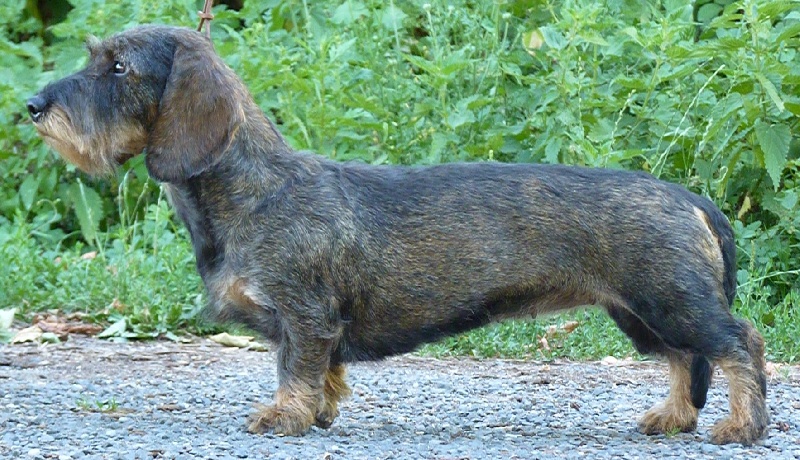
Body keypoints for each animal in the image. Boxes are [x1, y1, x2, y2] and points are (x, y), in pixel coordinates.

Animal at [27, 25, 769, 445]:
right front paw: (319, 412)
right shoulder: (310, 323)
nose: (32, 106)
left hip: (670, 300)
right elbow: (317, 372)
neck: (251, 188)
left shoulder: (304, 313)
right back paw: (672, 418)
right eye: (96, 57)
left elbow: (295, 368)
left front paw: (284, 417)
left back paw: (740, 426)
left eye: (118, 68)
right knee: (683, 360)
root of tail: (688, 197)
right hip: (640, 313)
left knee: (739, 345)